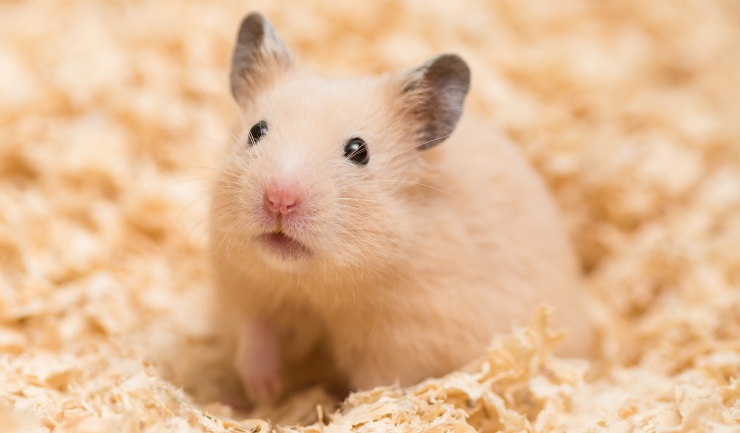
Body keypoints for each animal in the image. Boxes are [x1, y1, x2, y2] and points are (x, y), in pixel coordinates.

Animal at [210, 12, 592, 405]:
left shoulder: (403, 342)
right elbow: (255, 334)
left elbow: (376, 386)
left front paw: (344, 408)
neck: (312, 285)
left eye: (359, 151)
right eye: (256, 131)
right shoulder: (243, 289)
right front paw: (264, 392)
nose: (279, 199)